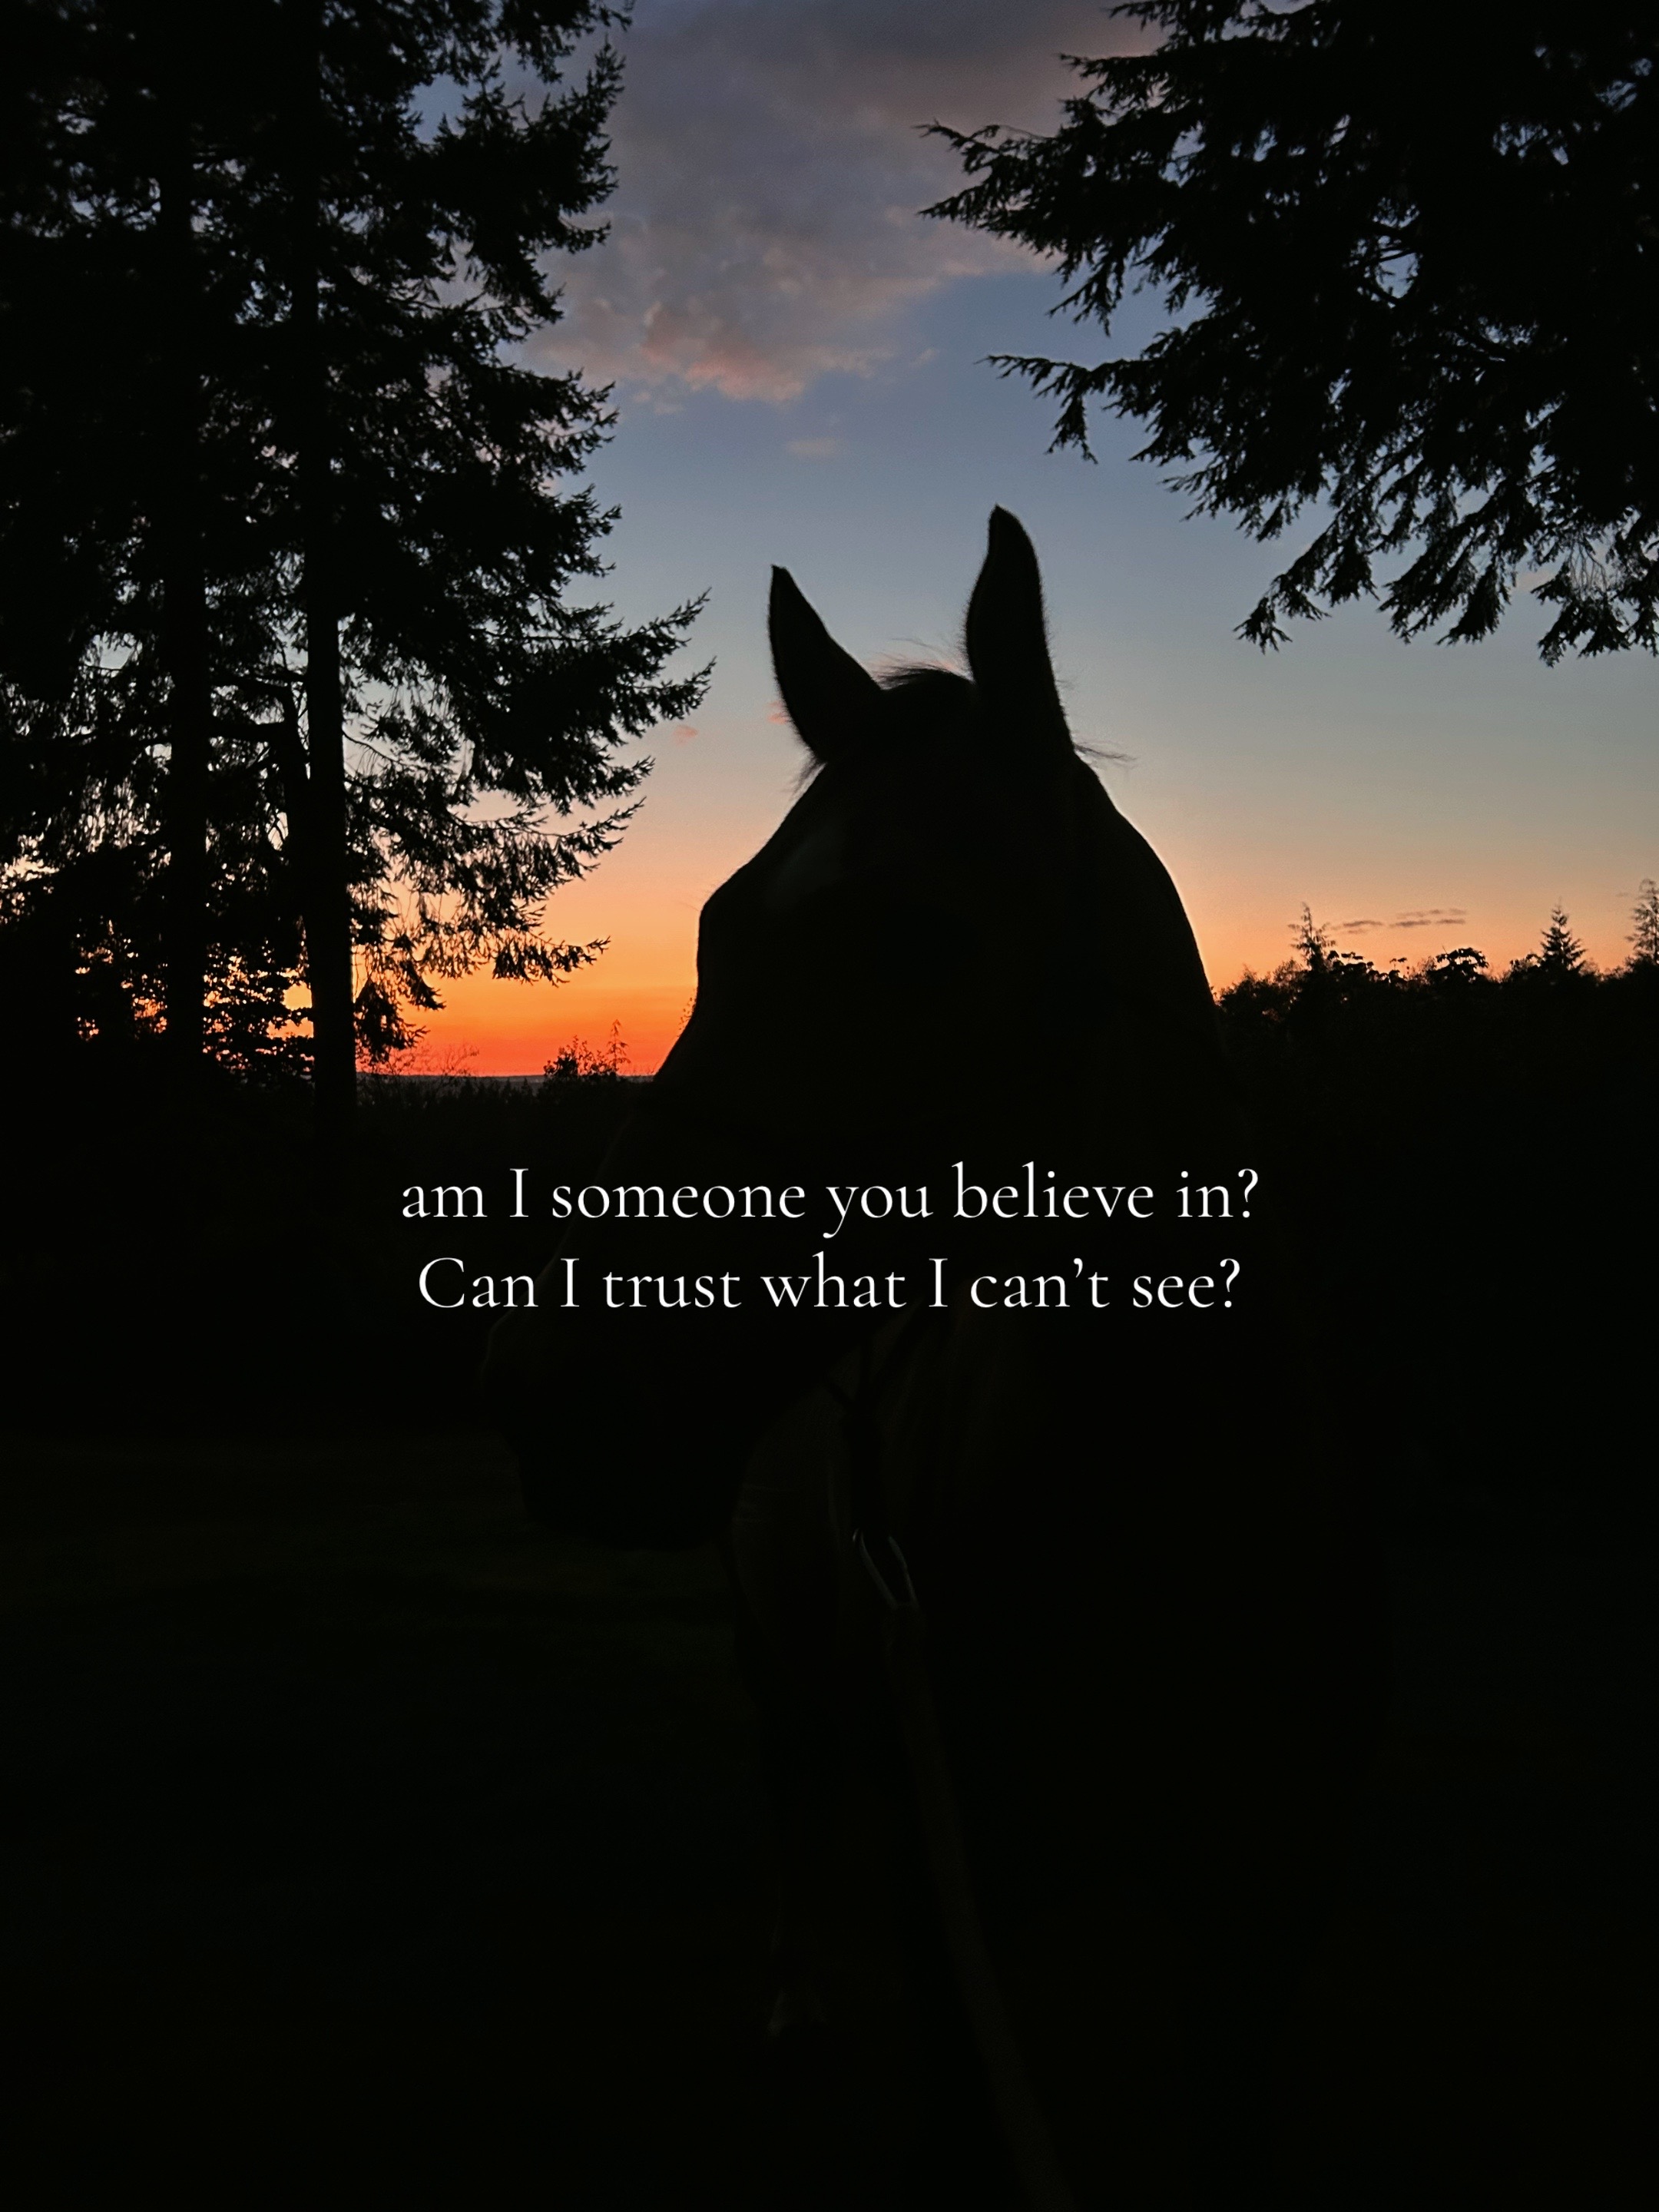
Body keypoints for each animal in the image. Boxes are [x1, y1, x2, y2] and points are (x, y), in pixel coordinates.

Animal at [483, 510, 1384, 2207]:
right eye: (714, 929)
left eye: (910, 937)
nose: (571, 1412)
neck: (1160, 1487)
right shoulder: (954, 1904)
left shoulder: (1257, 1939)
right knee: (796, 1783)